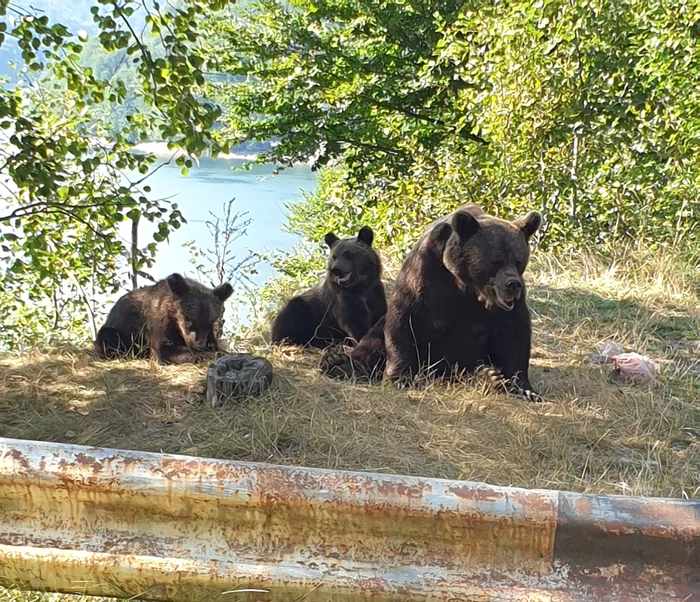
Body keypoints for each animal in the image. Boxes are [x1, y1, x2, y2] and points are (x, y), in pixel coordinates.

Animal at [93, 274, 232, 364]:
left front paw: (221, 352)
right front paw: (207, 355)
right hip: (118, 331)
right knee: (108, 337)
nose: (199, 346)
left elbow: (216, 345)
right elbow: (164, 349)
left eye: (209, 324)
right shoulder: (158, 324)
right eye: (190, 323)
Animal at [320, 204, 544, 400]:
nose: (512, 284)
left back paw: (489, 377)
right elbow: (403, 319)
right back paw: (337, 362)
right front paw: (398, 377)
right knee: (373, 340)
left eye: (518, 260)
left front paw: (525, 389)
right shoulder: (426, 274)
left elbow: (514, 336)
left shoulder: (503, 309)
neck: (466, 285)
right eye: (496, 261)